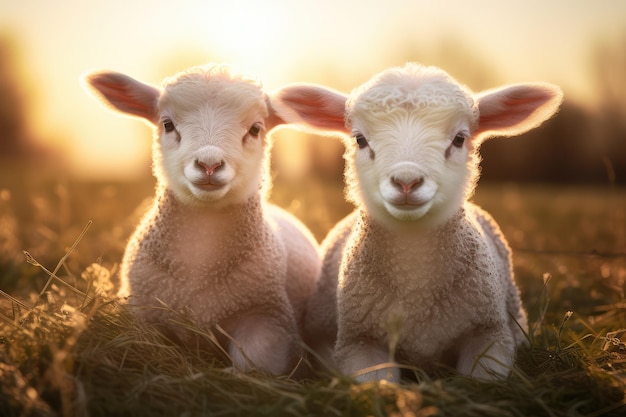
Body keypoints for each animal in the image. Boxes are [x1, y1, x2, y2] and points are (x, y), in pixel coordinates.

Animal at [83, 64, 320, 374]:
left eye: (255, 129)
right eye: (167, 124)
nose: (209, 164)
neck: (199, 265)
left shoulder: (268, 319)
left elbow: (250, 367)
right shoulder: (142, 312)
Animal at [270, 62, 564, 380]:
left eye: (459, 139)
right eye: (360, 139)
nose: (406, 181)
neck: (416, 286)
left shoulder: (489, 335)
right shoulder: (359, 342)